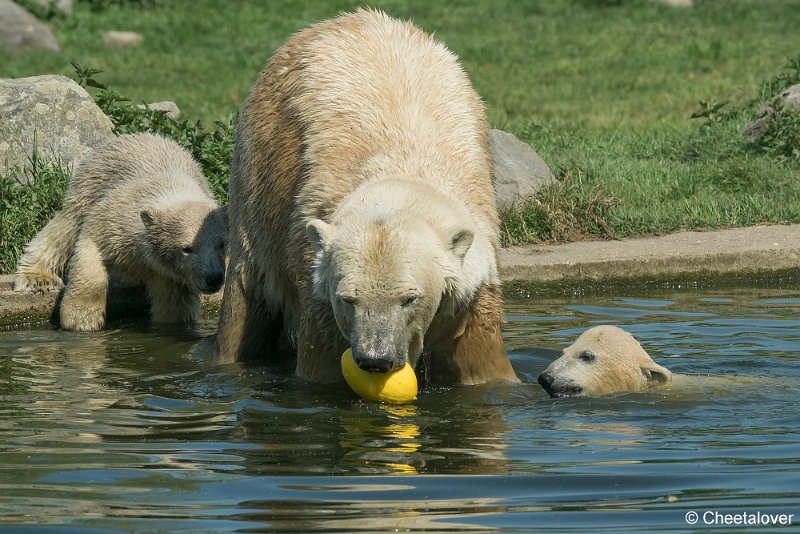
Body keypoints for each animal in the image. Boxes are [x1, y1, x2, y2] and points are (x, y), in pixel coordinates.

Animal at [219, 8, 520, 386]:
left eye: (409, 298)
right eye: (349, 299)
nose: (376, 359)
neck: (402, 175)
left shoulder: (473, 292)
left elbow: (484, 367)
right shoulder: (318, 290)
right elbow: (322, 369)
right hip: (257, 174)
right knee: (246, 294)